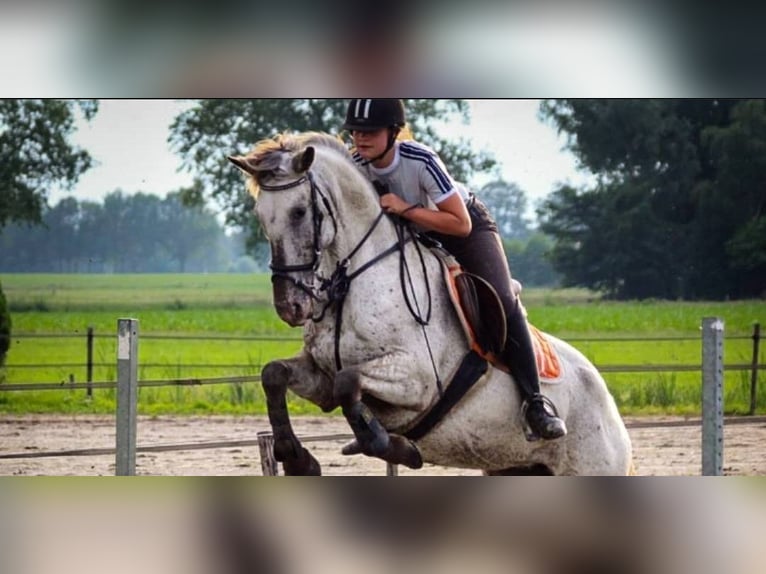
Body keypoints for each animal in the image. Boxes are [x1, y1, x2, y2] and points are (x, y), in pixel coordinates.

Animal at [230, 132, 636, 476]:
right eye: (261, 217)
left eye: (299, 212)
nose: (290, 307)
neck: (355, 281)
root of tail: (607, 400)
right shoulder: (321, 376)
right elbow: (274, 374)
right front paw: (296, 458)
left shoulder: (417, 382)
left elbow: (350, 383)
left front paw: (395, 448)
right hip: (514, 467)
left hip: (591, 464)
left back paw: (544, 417)